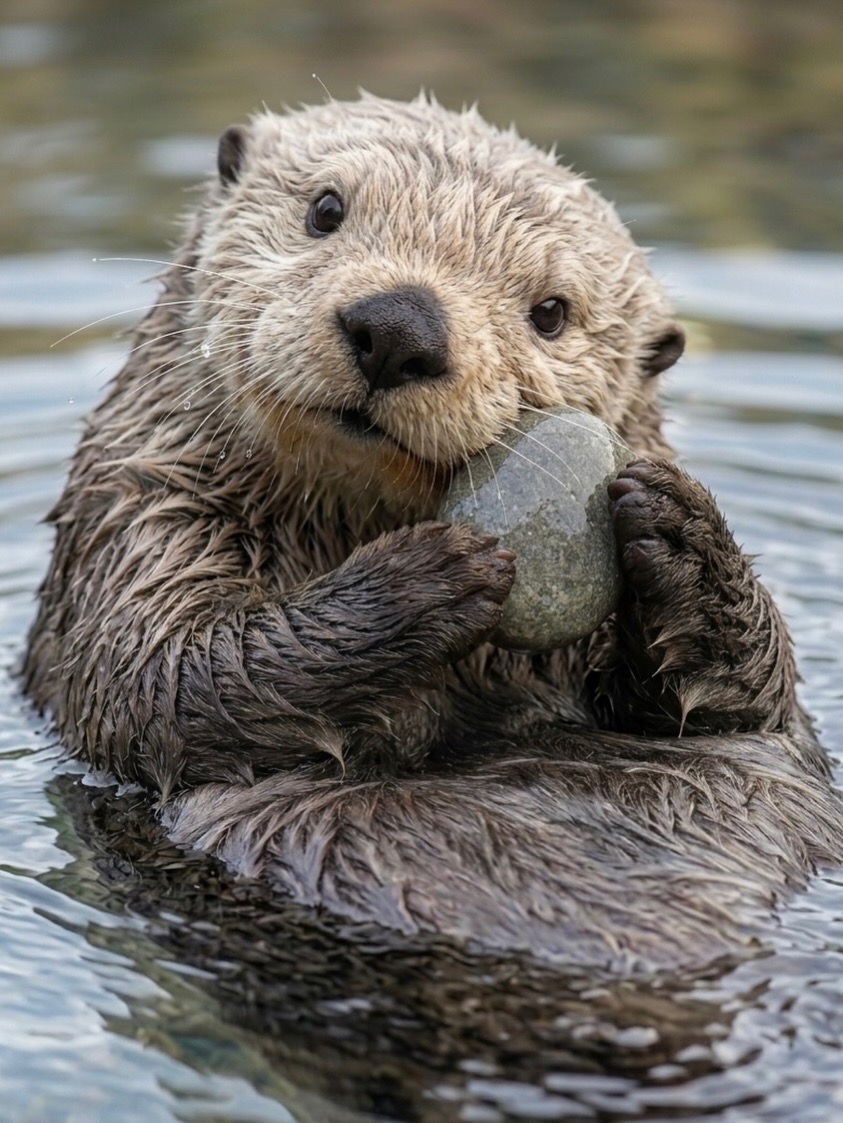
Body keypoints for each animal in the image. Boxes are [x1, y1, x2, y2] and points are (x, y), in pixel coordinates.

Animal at [24, 94, 842, 973]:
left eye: (551, 312)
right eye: (325, 209)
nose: (398, 325)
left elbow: (741, 702)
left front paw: (682, 532)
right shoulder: (141, 512)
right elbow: (151, 676)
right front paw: (426, 577)